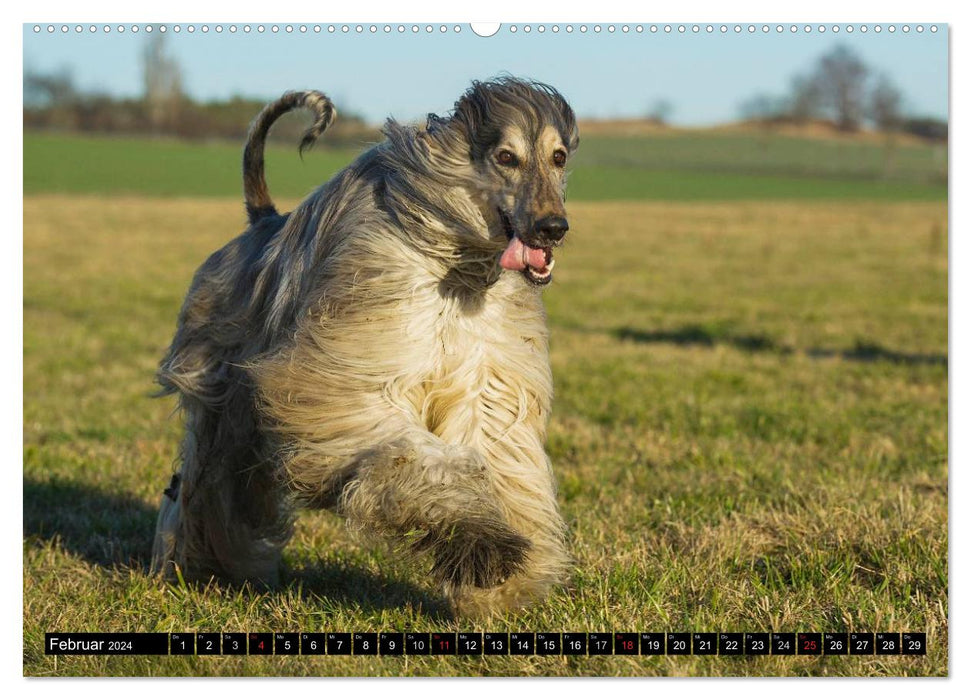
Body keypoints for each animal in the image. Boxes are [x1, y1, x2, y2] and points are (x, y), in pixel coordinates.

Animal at [150, 75, 576, 612]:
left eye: (558, 157)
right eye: (506, 157)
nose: (552, 228)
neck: (458, 273)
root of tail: (262, 223)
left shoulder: (486, 382)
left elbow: (495, 453)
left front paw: (503, 581)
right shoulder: (352, 365)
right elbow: (406, 453)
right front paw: (481, 542)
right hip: (224, 397)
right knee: (209, 481)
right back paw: (202, 564)